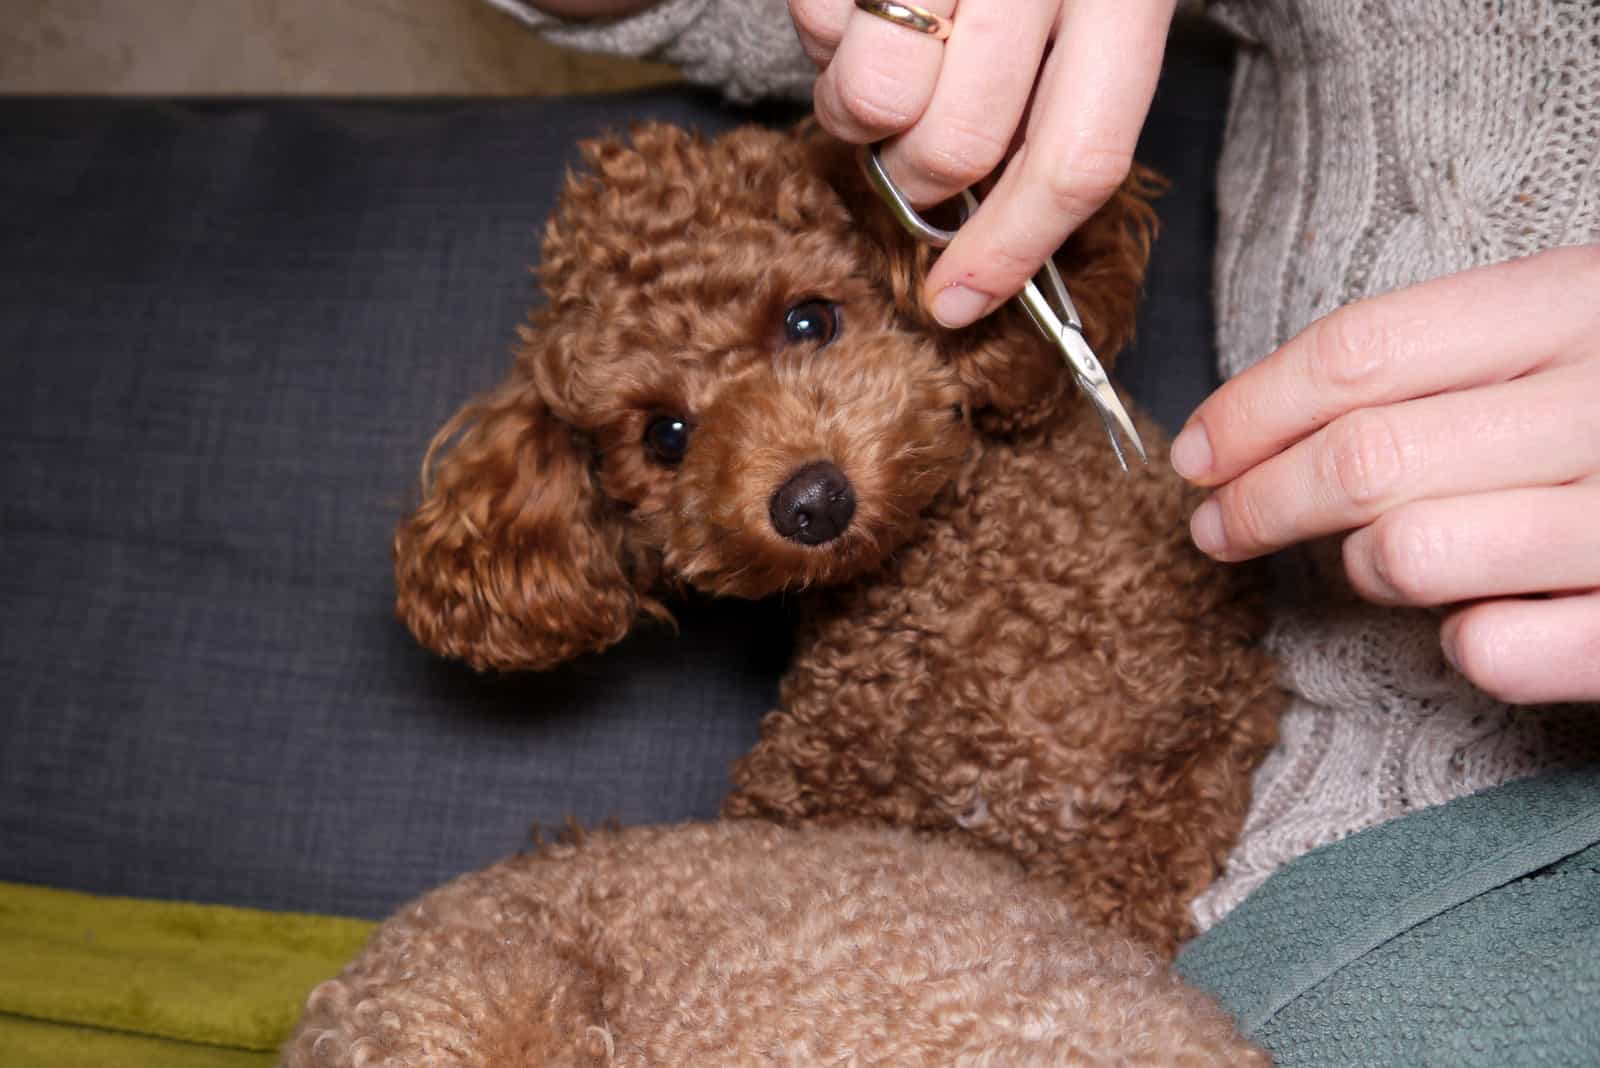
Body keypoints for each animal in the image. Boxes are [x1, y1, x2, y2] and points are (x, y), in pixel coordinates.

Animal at [396, 123, 1286, 952]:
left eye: (808, 319)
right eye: (666, 436)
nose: (813, 502)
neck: (949, 590)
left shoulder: (1218, 715)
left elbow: (1146, 848)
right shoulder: (802, 798)